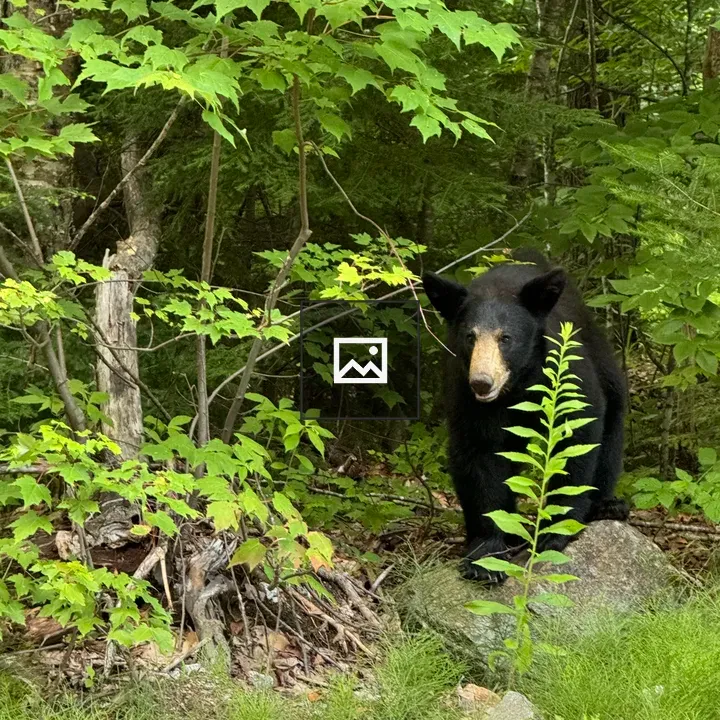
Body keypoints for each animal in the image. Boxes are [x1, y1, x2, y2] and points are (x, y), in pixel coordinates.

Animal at [422, 249, 628, 583]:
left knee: (612, 428)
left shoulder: (564, 371)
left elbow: (578, 435)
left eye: (505, 338)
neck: (517, 384)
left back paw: (608, 505)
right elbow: (479, 457)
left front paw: (555, 532)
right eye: (470, 337)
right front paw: (485, 556)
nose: (482, 382)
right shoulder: (465, 397)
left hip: (602, 361)